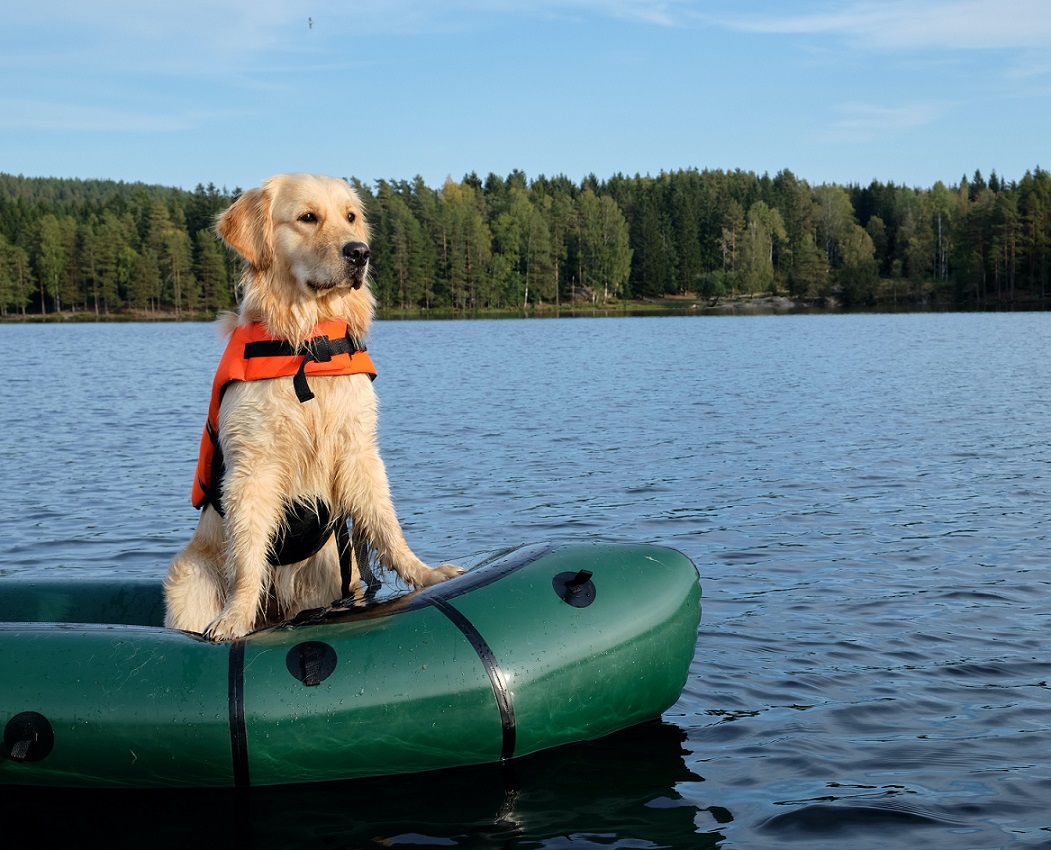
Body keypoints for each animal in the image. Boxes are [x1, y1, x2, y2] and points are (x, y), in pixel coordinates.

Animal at [163, 171, 460, 638]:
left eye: (351, 216)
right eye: (307, 217)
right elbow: (247, 556)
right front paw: (235, 616)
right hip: (190, 577)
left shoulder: (358, 450)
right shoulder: (253, 465)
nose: (360, 253)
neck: (311, 345)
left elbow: (387, 524)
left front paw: (426, 573)